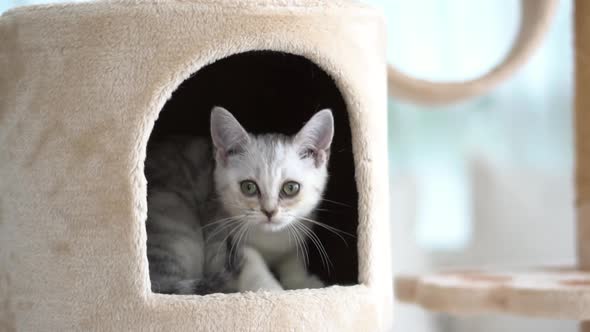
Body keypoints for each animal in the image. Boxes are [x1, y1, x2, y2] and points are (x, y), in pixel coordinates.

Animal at [146, 105, 336, 294]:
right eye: (248, 187)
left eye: (291, 188)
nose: (269, 211)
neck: (271, 241)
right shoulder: (217, 238)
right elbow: (250, 261)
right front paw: (272, 289)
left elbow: (293, 259)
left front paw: (303, 281)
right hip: (175, 218)